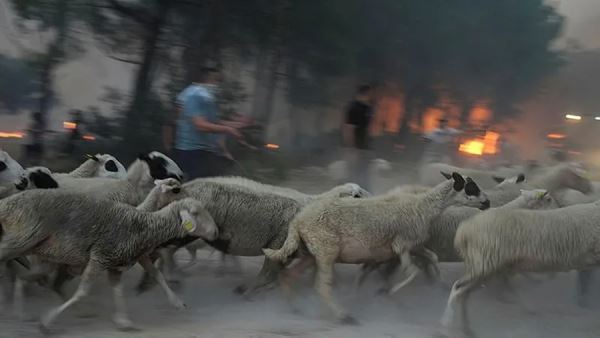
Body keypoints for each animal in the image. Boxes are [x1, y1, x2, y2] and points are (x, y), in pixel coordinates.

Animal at [0, 189, 218, 332]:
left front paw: (124, 321)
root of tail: (6, 203)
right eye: (196, 213)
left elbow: (124, 288)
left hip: (44, 255)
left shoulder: (115, 263)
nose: (216, 232)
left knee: (26, 278)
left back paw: (22, 313)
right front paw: (47, 321)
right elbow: (82, 292)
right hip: (19, 239)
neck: (143, 225)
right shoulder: (100, 257)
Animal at [262, 173, 488, 324]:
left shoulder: (413, 245)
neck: (423, 206)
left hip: (311, 252)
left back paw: (295, 308)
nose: (487, 202)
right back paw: (343, 316)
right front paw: (390, 292)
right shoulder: (401, 245)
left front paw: (440, 285)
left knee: (289, 275)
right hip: (326, 251)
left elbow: (432, 257)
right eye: (471, 187)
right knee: (322, 287)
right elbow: (412, 271)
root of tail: (298, 221)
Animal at [440, 198, 600, 338]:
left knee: (464, 294)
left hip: (487, 267)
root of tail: (463, 231)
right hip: (484, 265)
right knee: (457, 289)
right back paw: (447, 326)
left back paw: (466, 328)